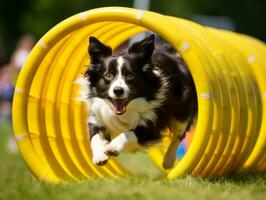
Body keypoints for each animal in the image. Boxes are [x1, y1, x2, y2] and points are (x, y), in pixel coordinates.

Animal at [83, 34, 197, 169]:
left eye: (130, 76)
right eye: (108, 76)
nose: (118, 90)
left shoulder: (152, 124)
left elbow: (130, 133)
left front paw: (113, 146)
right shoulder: (97, 116)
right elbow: (95, 136)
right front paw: (100, 155)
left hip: (181, 114)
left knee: (180, 133)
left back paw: (168, 160)